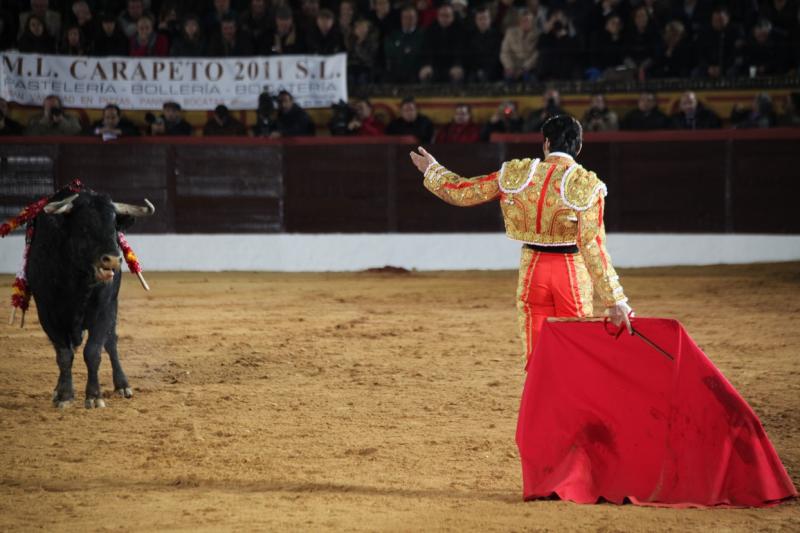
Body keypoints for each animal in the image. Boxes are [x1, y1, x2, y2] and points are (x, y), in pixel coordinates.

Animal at [28, 190, 155, 408]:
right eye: (85, 226)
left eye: (114, 227)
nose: (112, 260)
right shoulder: (46, 313)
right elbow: (64, 355)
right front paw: (64, 395)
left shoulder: (104, 310)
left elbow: (93, 351)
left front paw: (94, 396)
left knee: (111, 343)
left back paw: (122, 385)